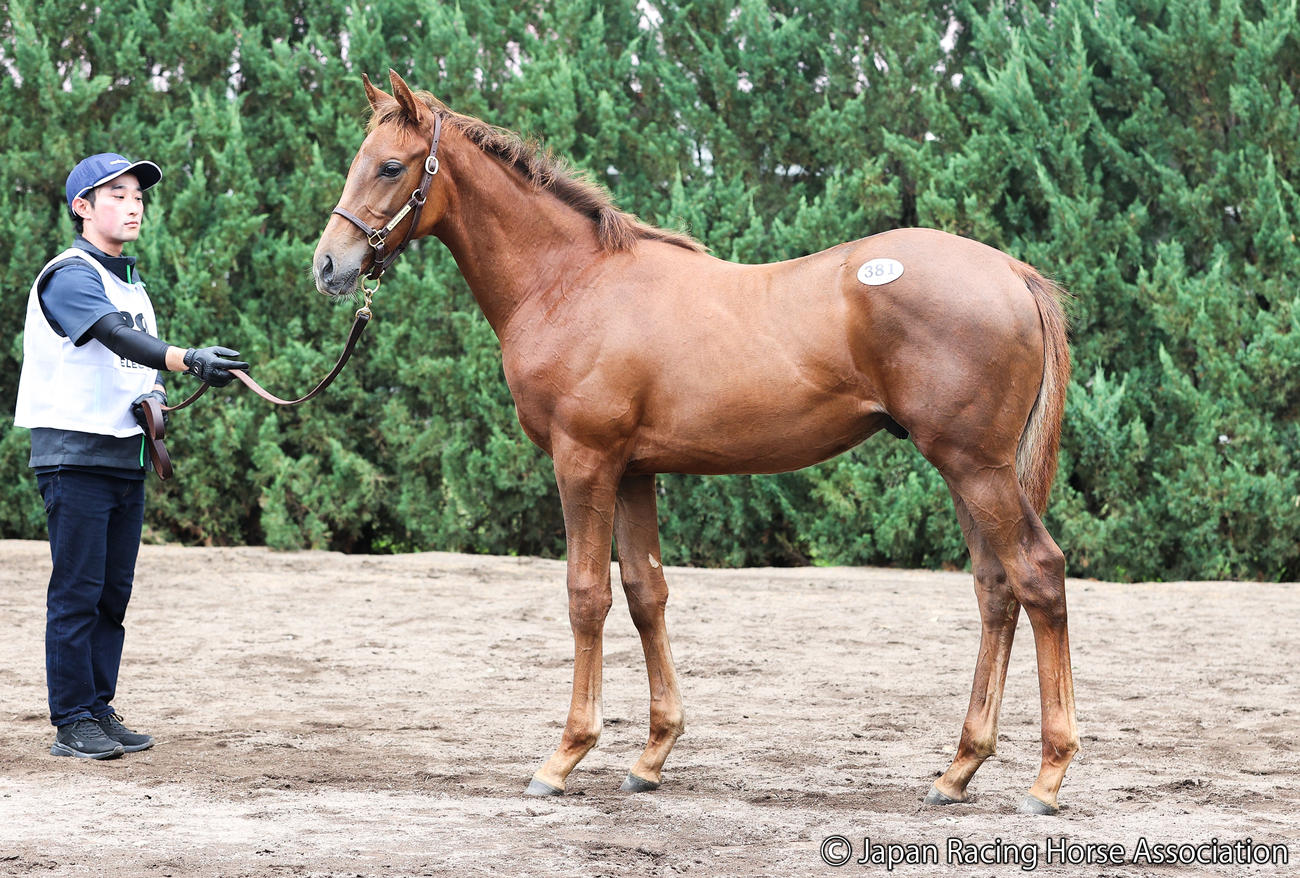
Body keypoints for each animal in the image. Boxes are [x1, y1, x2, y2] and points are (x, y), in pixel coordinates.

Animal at [312, 70, 1079, 815]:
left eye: (390, 166)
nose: (328, 266)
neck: (571, 282)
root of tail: (1012, 274)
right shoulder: (633, 471)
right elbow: (645, 592)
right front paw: (651, 758)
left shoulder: (584, 460)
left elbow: (586, 594)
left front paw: (564, 757)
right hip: (965, 470)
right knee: (995, 589)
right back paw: (958, 771)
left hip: (974, 466)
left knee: (1038, 573)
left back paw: (1046, 779)